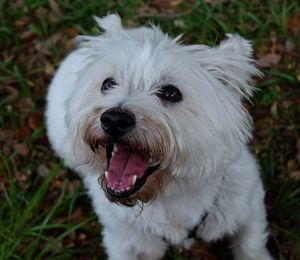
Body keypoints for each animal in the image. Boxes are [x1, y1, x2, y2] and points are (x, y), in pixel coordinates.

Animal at [46, 14, 272, 260]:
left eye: (171, 93)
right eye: (108, 83)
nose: (114, 119)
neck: (168, 197)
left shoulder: (248, 204)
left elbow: (251, 245)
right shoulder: (121, 239)